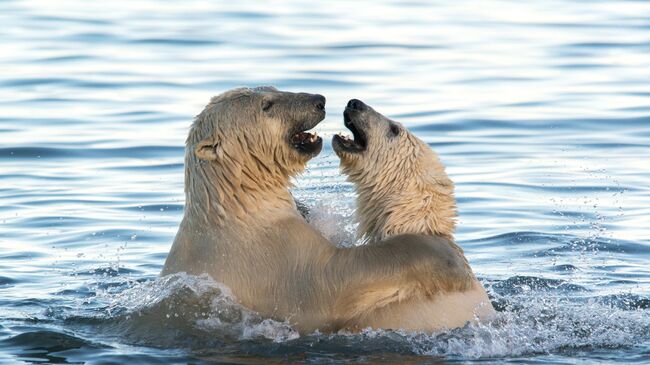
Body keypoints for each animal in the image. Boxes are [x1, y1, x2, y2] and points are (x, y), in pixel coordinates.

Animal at [163, 86, 492, 332]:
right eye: (267, 105)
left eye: (273, 88)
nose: (319, 100)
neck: (239, 203)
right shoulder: (272, 259)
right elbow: (335, 278)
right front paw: (451, 258)